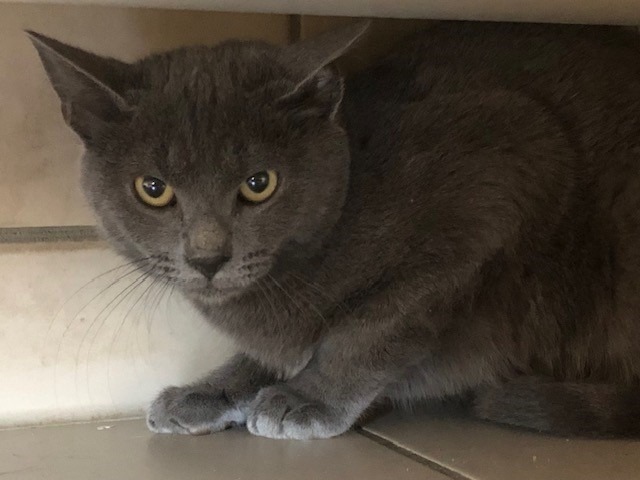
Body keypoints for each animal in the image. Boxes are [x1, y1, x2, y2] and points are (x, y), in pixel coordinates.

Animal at [30, 20, 640, 439]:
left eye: (260, 183)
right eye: (152, 188)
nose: (208, 257)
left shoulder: (500, 184)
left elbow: (374, 326)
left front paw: (309, 398)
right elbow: (276, 346)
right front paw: (210, 390)